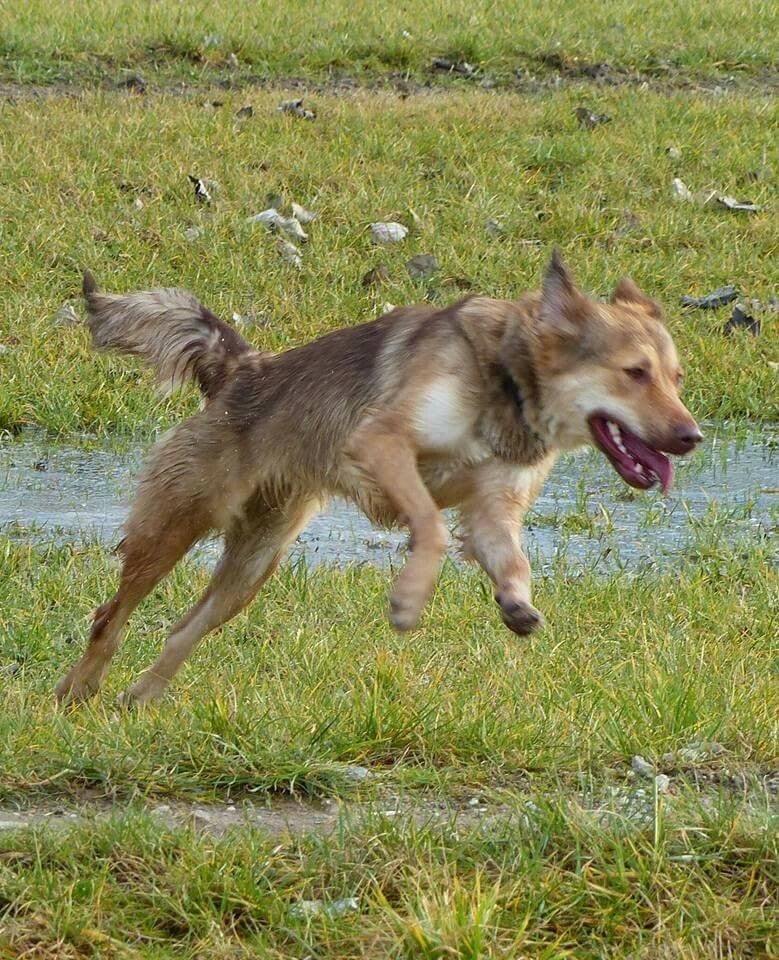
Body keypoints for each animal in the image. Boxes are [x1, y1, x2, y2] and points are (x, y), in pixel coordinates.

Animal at [55, 251, 701, 705]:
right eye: (635, 373)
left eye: (675, 378)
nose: (692, 437)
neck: (508, 381)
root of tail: (242, 367)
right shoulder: (379, 442)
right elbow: (431, 527)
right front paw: (409, 599)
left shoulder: (493, 509)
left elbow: (512, 559)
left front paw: (516, 603)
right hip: (176, 525)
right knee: (109, 615)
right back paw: (76, 692)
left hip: (252, 568)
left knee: (181, 631)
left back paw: (138, 698)